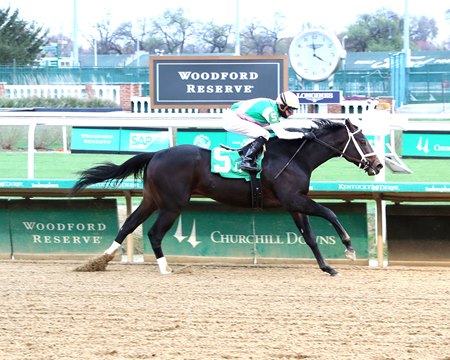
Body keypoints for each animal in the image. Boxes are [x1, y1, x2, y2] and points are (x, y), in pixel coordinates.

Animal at [72, 118, 382, 276]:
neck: (293, 157)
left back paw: (100, 260)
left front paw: (327, 267)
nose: (378, 165)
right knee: (154, 233)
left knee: (128, 225)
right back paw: (165, 268)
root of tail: (156, 154)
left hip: (152, 199)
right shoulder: (294, 200)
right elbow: (330, 213)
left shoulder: (294, 204)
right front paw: (349, 247)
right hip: (172, 205)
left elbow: (310, 237)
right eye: (362, 140)